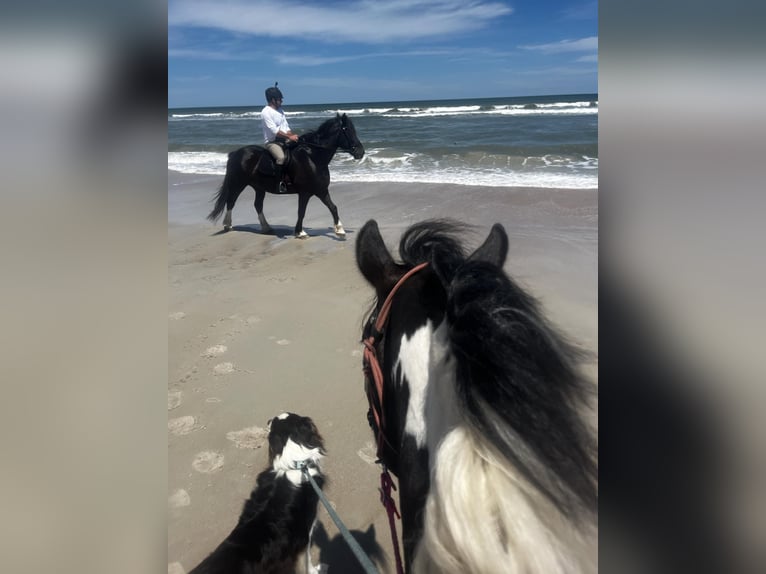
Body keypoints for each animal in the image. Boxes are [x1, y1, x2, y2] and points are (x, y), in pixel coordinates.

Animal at [191, 414, 328, 574]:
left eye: (274, 421)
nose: (268, 420)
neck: (294, 465)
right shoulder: (306, 529)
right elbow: (307, 558)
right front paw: (315, 569)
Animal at [207, 113, 366, 240]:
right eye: (347, 130)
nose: (360, 152)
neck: (313, 158)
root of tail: (235, 153)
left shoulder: (321, 190)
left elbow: (333, 207)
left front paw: (340, 230)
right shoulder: (305, 192)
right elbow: (301, 212)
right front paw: (300, 232)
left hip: (259, 187)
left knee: (257, 205)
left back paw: (266, 228)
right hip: (238, 183)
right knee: (231, 202)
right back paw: (228, 225)